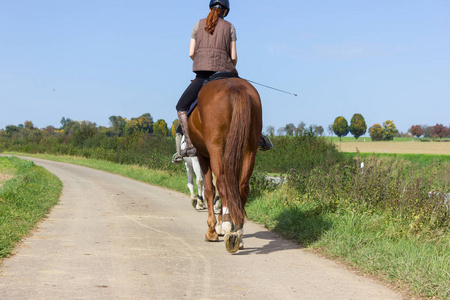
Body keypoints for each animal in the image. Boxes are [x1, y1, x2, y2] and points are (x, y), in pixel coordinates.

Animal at [188, 77, 262, 253]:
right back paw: (238, 231)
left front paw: (213, 230)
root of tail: (234, 87)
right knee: (241, 186)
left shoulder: (203, 155)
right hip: (249, 150)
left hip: (216, 149)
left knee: (222, 184)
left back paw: (229, 228)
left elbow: (209, 190)